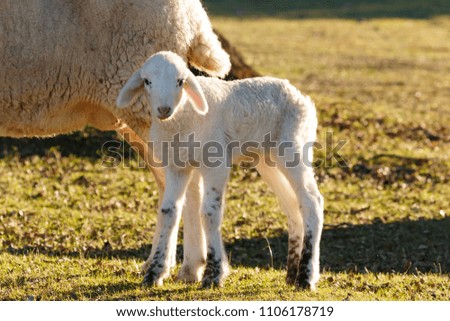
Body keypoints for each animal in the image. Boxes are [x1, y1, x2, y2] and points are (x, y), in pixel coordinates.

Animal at [0, 0, 230, 280]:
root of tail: (192, 14)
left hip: (150, 103)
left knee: (187, 182)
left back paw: (179, 266)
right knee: (171, 183)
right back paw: (174, 265)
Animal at [117, 51, 324, 288]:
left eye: (181, 81)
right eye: (147, 81)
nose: (163, 109)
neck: (182, 116)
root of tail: (302, 97)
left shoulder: (215, 164)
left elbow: (209, 212)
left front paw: (214, 273)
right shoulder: (177, 166)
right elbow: (169, 211)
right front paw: (154, 273)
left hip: (295, 147)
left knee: (312, 201)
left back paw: (306, 276)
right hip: (267, 159)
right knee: (292, 204)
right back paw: (291, 273)